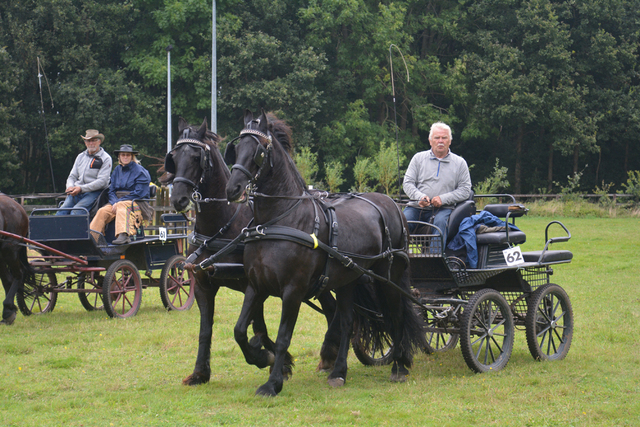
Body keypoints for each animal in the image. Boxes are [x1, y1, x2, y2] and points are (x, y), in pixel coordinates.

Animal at [222, 110, 428, 398]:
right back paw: (339, 372)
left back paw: (398, 365)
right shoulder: (256, 285)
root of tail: (392, 203)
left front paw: (272, 383)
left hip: (390, 277)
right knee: (348, 321)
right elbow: (240, 330)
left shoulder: (293, 290)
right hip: (348, 279)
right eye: (236, 148)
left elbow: (284, 337)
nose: (233, 188)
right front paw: (262, 357)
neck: (277, 221)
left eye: (259, 151)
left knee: (396, 314)